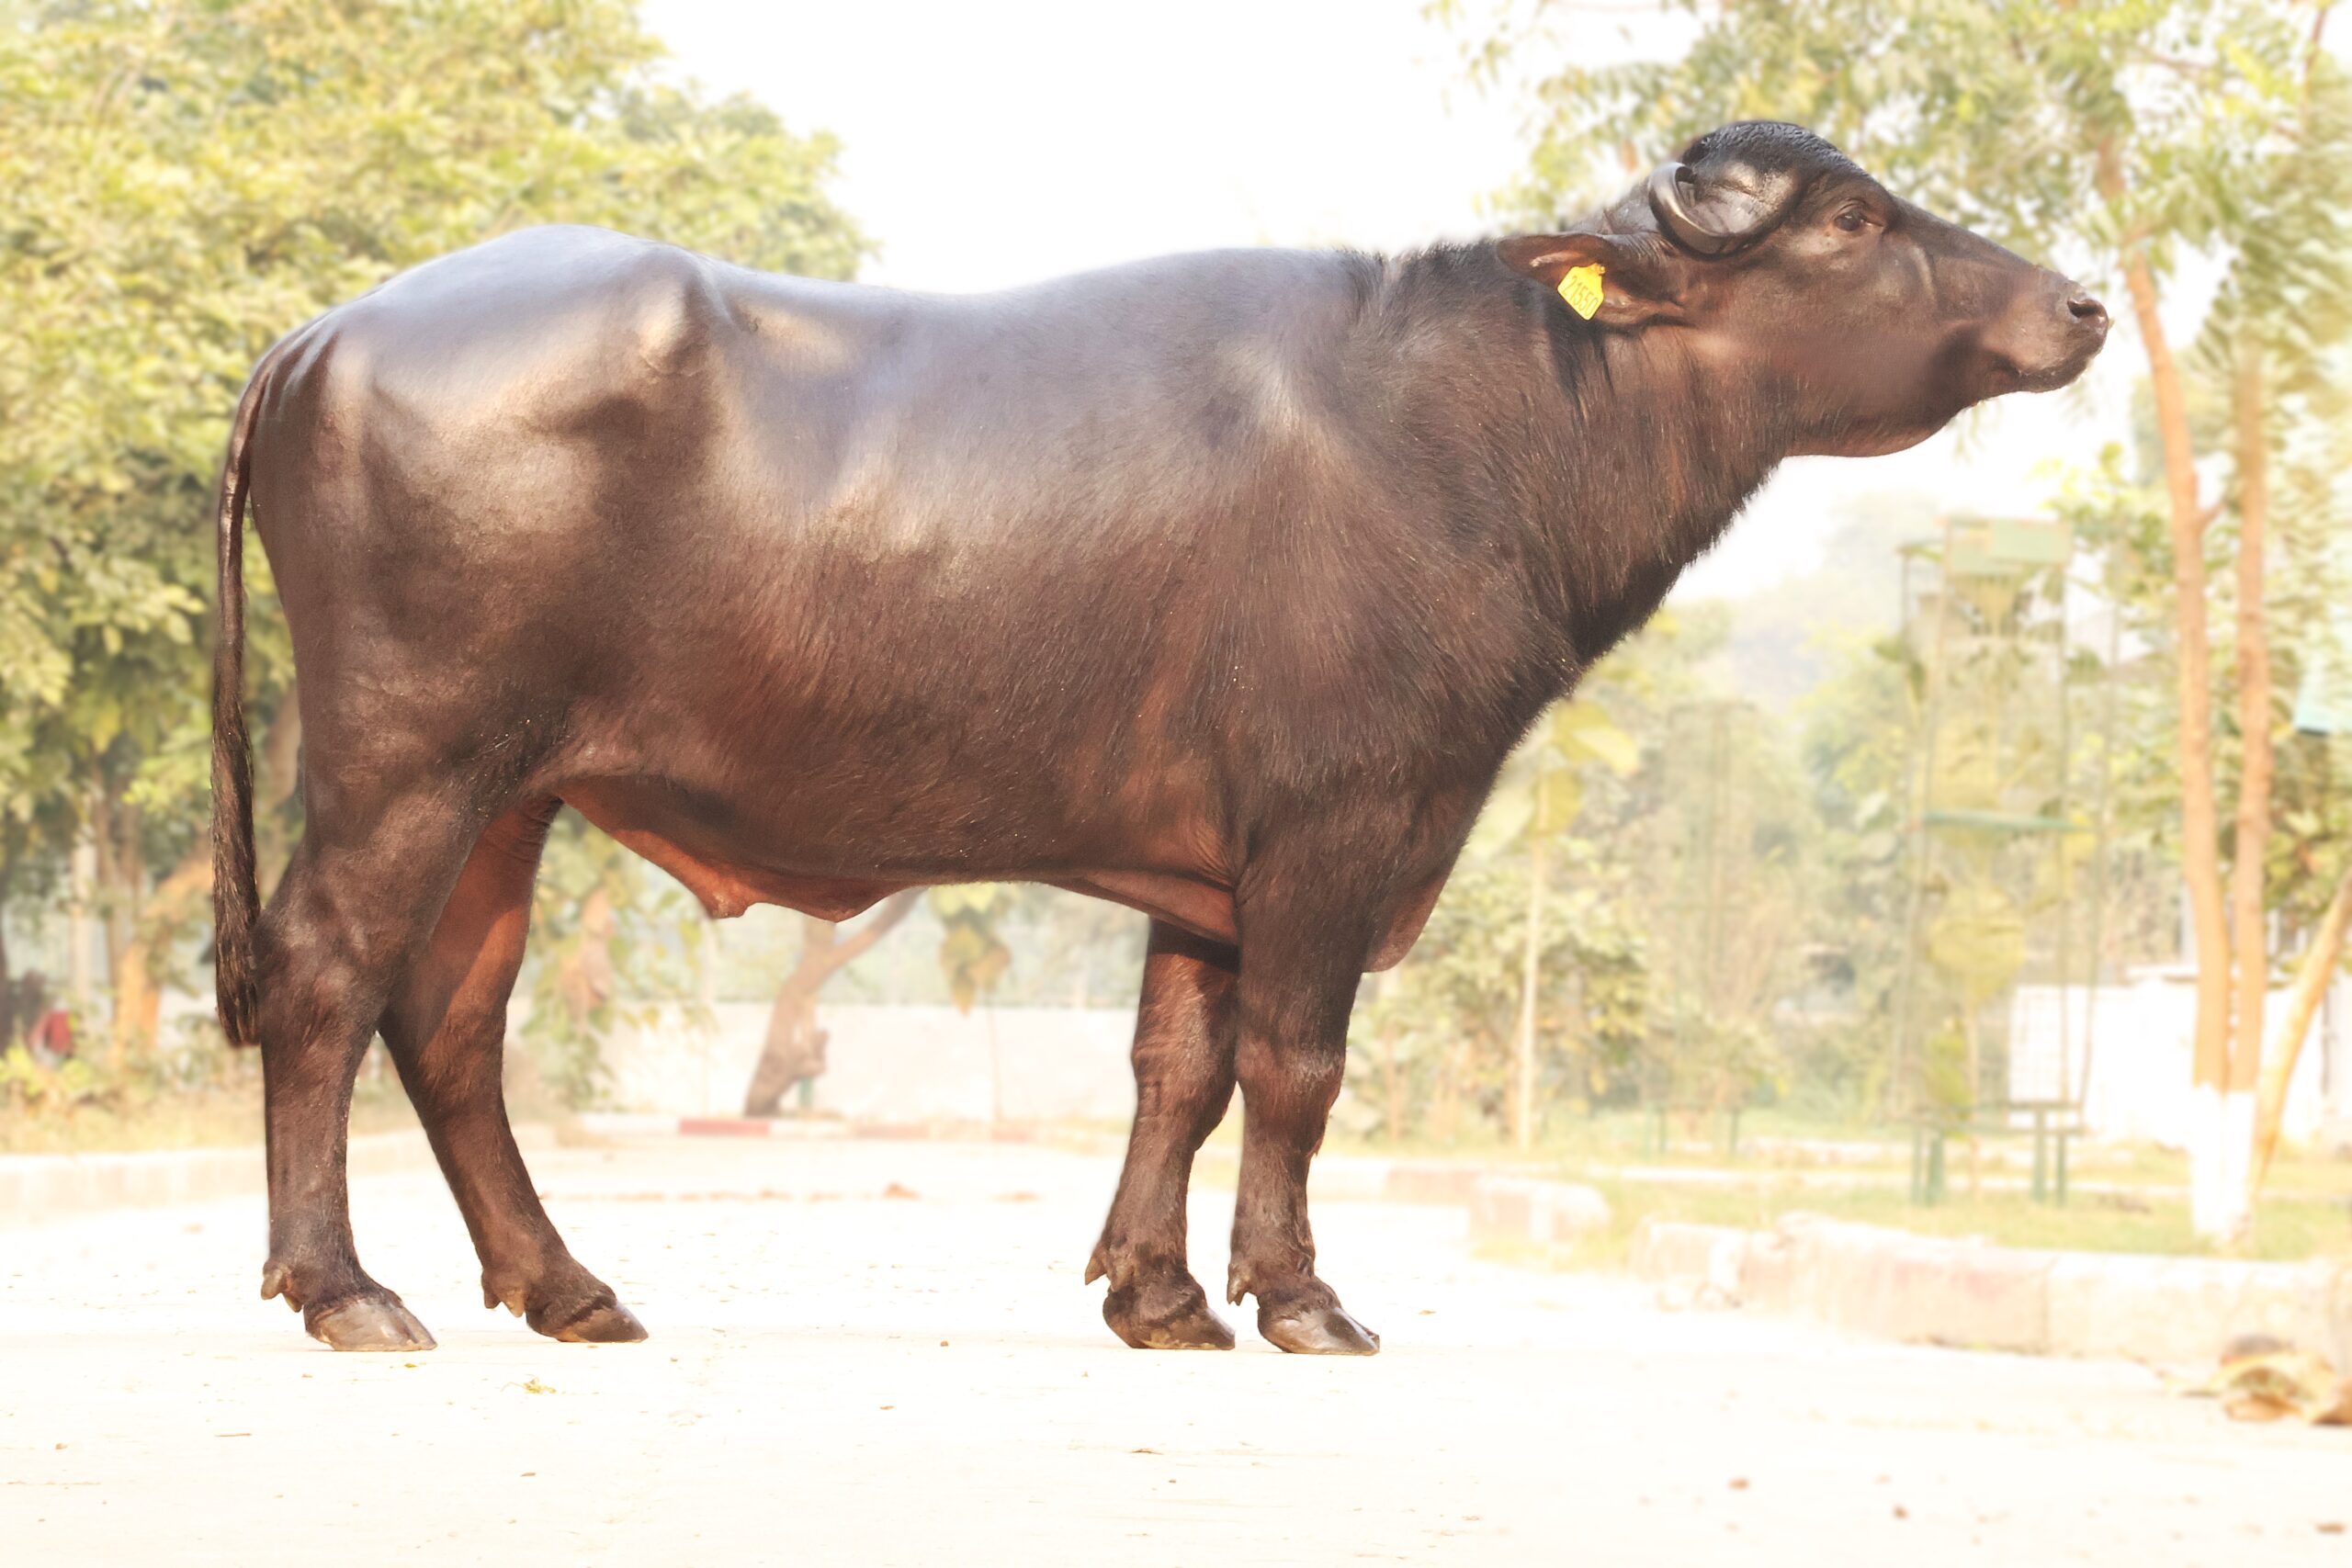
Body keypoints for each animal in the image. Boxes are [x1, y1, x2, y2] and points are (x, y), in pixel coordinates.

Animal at [210, 122, 2106, 1354]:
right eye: (1851, 217)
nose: (2080, 308)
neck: (1478, 435)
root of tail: (328, 331)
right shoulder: (1339, 823)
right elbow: (1298, 1067)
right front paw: (1305, 1297)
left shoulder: (1211, 867)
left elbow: (1177, 1068)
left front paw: (1162, 1294)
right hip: (406, 759)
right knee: (326, 981)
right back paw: (344, 1289)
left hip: (511, 793)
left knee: (450, 1020)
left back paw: (568, 1287)